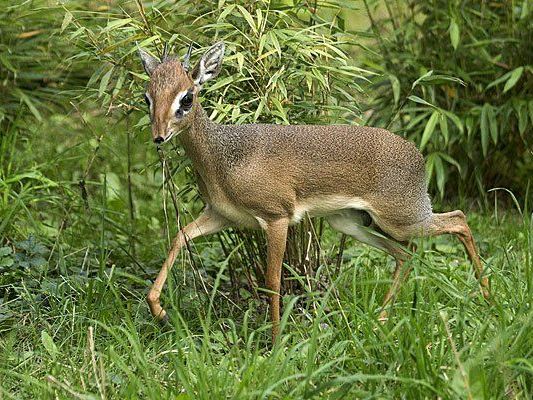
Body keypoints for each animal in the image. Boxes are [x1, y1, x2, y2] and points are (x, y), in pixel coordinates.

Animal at [138, 41, 490, 340]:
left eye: (187, 97)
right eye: (147, 97)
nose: (158, 136)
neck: (223, 158)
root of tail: (418, 155)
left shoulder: (277, 218)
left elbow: (273, 280)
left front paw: (276, 343)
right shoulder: (222, 216)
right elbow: (179, 237)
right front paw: (160, 310)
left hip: (402, 218)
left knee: (458, 219)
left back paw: (486, 298)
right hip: (351, 222)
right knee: (406, 253)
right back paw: (381, 320)